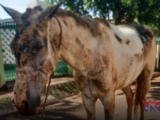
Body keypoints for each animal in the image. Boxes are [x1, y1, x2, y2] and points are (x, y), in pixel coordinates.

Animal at [0, 2, 155, 120]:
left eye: (38, 46)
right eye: (11, 47)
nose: (20, 104)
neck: (91, 57)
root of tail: (147, 30)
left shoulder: (109, 98)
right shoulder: (87, 98)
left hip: (146, 78)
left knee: (141, 101)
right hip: (126, 80)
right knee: (130, 98)